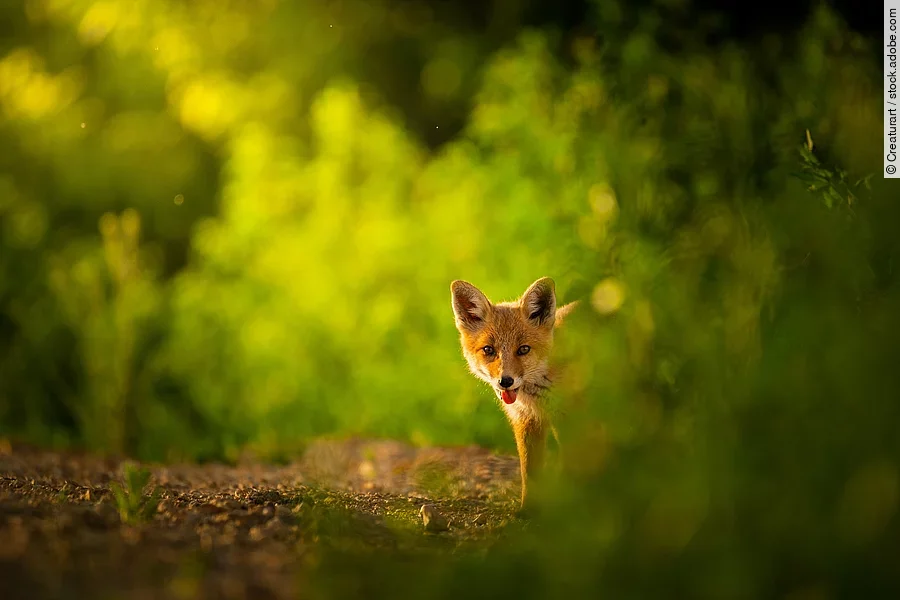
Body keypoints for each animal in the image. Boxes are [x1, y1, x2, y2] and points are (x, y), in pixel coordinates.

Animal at [450, 277, 577, 510]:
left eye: (523, 349)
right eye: (489, 350)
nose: (505, 382)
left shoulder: (570, 418)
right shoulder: (525, 420)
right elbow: (530, 474)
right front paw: (528, 511)